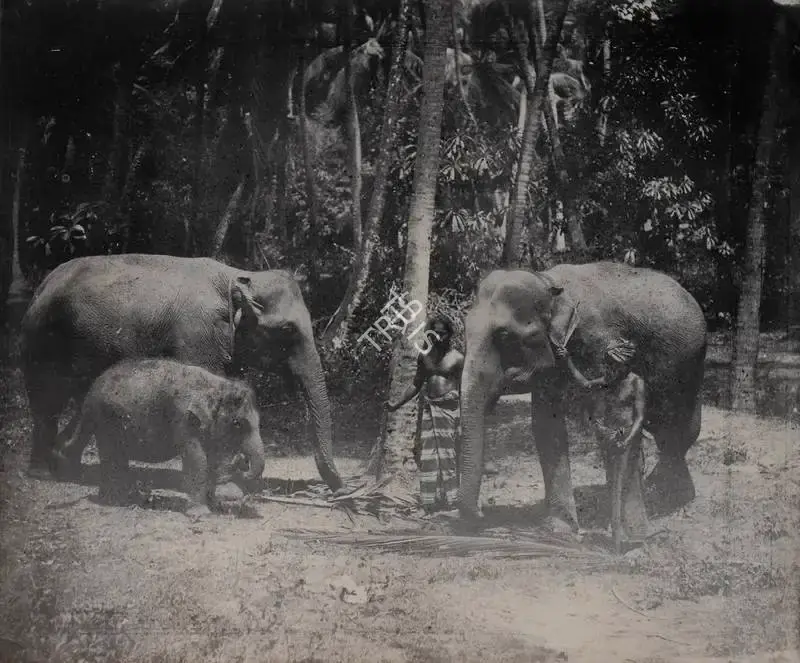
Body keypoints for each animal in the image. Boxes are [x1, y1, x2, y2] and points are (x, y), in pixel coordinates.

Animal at [20, 253, 342, 492]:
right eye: (288, 330)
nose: (340, 488)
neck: (237, 276)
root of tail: (42, 284)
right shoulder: (197, 337)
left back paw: (68, 467)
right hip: (41, 341)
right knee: (46, 404)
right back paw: (44, 473)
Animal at [54, 359, 266, 516]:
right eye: (237, 423)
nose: (243, 463)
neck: (217, 384)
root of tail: (88, 396)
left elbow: (211, 457)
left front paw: (216, 506)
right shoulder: (183, 419)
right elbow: (197, 459)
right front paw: (201, 513)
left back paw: (130, 498)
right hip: (104, 419)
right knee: (111, 456)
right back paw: (115, 501)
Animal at [459, 261, 707, 535]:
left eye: (504, 336)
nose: (482, 513)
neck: (548, 282)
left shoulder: (599, 338)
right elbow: (546, 425)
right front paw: (560, 528)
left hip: (689, 365)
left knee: (678, 428)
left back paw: (668, 499)